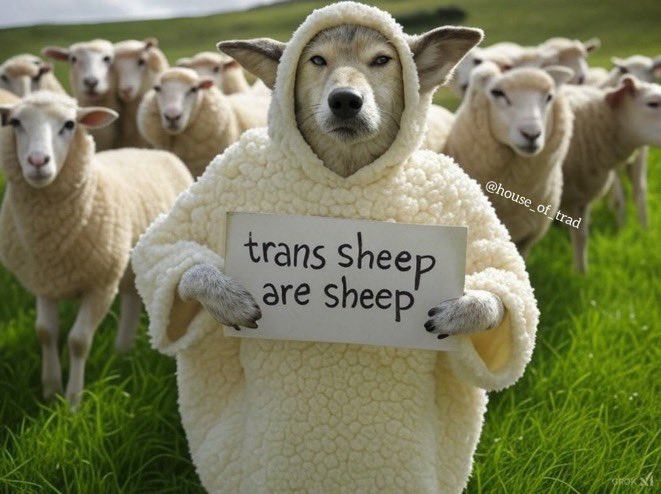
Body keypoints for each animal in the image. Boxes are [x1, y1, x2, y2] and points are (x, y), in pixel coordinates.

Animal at [0, 91, 193, 405]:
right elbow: (45, 332)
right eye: (15, 123)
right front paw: (51, 390)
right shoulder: (44, 280)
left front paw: (73, 400)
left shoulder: (101, 285)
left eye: (69, 124)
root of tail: (152, 150)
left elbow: (78, 341)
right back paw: (122, 350)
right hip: (127, 266)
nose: (38, 161)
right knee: (131, 299)